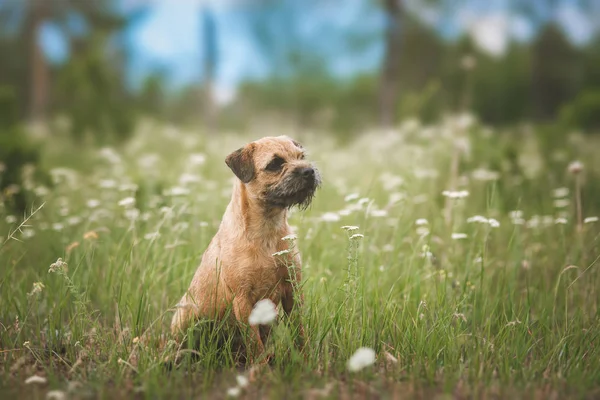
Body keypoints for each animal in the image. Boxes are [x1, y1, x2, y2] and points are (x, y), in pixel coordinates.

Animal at [171, 135, 322, 360]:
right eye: (275, 163)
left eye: (301, 156)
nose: (309, 171)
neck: (267, 231)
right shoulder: (242, 300)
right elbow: (254, 342)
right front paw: (260, 367)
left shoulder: (293, 290)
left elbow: (300, 331)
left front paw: (305, 359)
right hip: (185, 319)